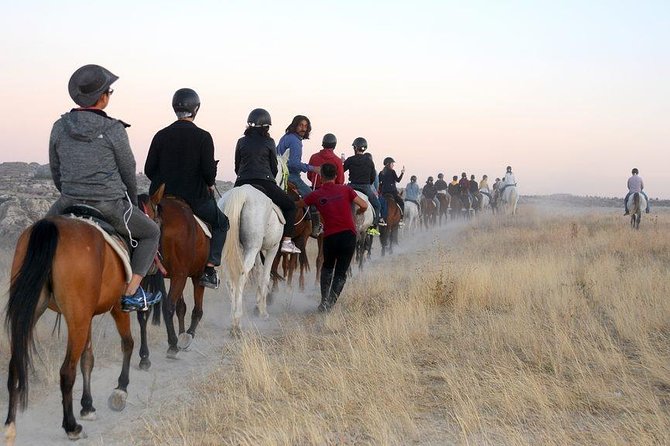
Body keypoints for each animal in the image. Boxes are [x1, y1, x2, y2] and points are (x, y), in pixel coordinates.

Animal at [4, 217, 134, 442]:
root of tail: (49, 226)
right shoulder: (118, 306)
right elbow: (127, 343)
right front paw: (121, 390)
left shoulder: (87, 316)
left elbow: (88, 359)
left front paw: (88, 406)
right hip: (78, 318)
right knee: (66, 371)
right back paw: (72, 426)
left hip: (35, 311)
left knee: (15, 367)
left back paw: (10, 427)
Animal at [142, 185, 213, 362]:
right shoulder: (193, 276)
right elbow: (196, 309)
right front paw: (187, 336)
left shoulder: (178, 275)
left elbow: (181, 307)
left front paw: (181, 335)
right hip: (185, 275)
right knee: (170, 307)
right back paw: (174, 346)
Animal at [217, 151, 288, 334]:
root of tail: (241, 193)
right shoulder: (271, 248)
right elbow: (264, 275)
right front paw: (262, 311)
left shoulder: (255, 250)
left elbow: (258, 270)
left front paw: (258, 306)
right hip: (253, 248)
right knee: (242, 274)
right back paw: (237, 321)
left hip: (234, 248)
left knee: (229, 277)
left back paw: (233, 315)